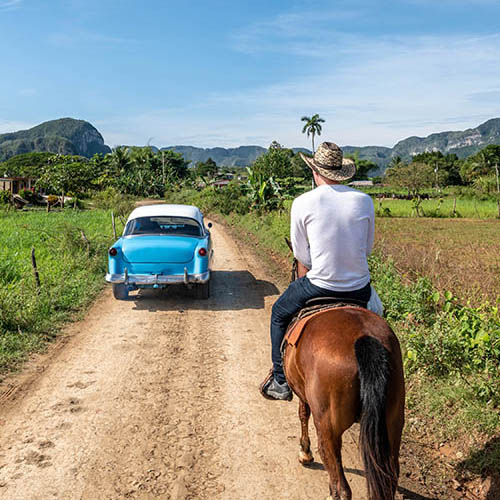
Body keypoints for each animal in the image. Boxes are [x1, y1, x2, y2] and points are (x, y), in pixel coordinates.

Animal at [284, 258, 404, 500]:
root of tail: (364, 338)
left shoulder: (303, 394)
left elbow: (302, 414)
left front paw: (305, 452)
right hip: (392, 423)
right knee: (390, 478)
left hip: (328, 427)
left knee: (341, 485)